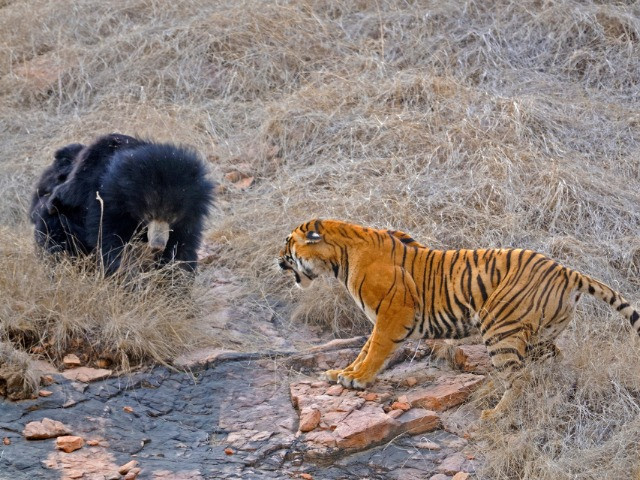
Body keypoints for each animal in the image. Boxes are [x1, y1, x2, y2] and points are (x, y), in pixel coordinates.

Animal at [278, 219, 640, 419]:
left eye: (288, 243)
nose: (278, 260)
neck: (340, 260)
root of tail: (566, 271)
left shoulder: (394, 314)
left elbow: (376, 348)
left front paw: (358, 379)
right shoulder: (383, 318)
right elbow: (365, 349)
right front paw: (343, 372)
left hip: (499, 330)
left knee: (518, 378)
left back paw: (494, 415)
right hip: (539, 336)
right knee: (552, 362)